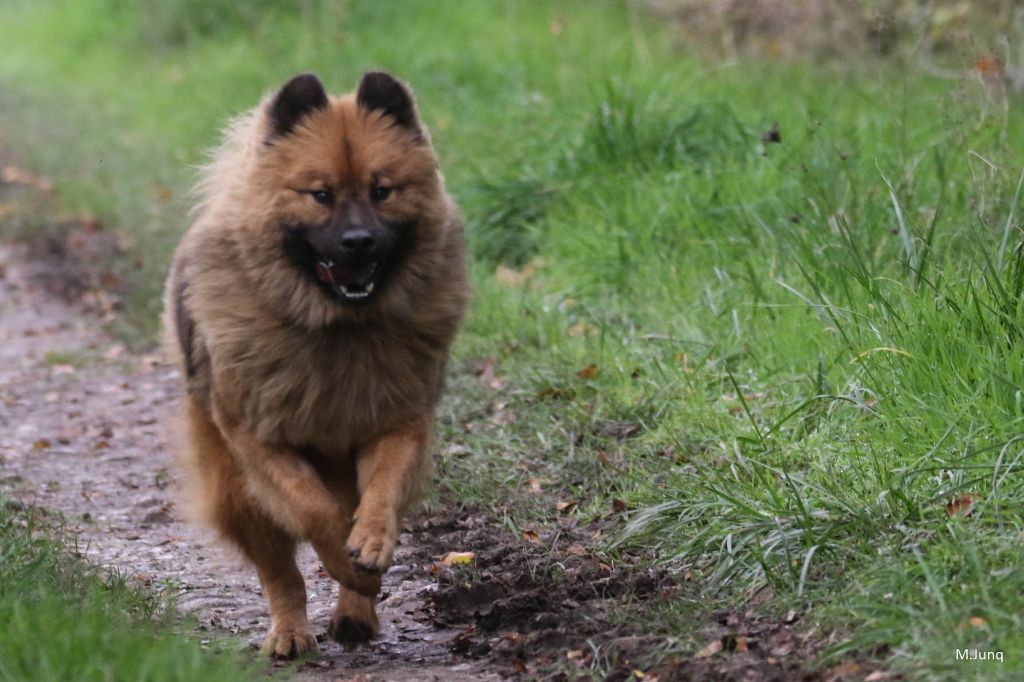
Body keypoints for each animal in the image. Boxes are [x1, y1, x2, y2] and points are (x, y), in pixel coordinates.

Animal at [162, 71, 468, 655]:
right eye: (321, 195)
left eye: (381, 191)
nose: (359, 241)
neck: (338, 331)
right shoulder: (260, 440)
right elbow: (313, 511)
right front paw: (347, 564)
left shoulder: (397, 422)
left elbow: (380, 492)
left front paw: (370, 548)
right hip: (235, 487)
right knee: (280, 571)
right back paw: (290, 633)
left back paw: (355, 616)